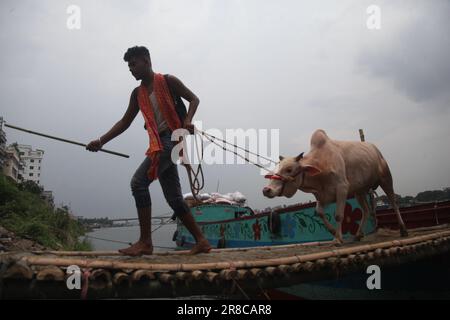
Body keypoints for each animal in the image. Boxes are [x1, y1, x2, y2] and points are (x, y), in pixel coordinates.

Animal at [262, 129, 410, 244]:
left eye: (289, 169)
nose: (266, 190)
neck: (322, 164)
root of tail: (375, 148)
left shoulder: (342, 188)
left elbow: (339, 215)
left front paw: (338, 239)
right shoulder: (320, 195)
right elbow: (319, 212)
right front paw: (334, 232)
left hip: (386, 179)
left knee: (394, 202)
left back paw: (403, 229)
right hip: (359, 191)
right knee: (366, 210)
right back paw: (358, 235)